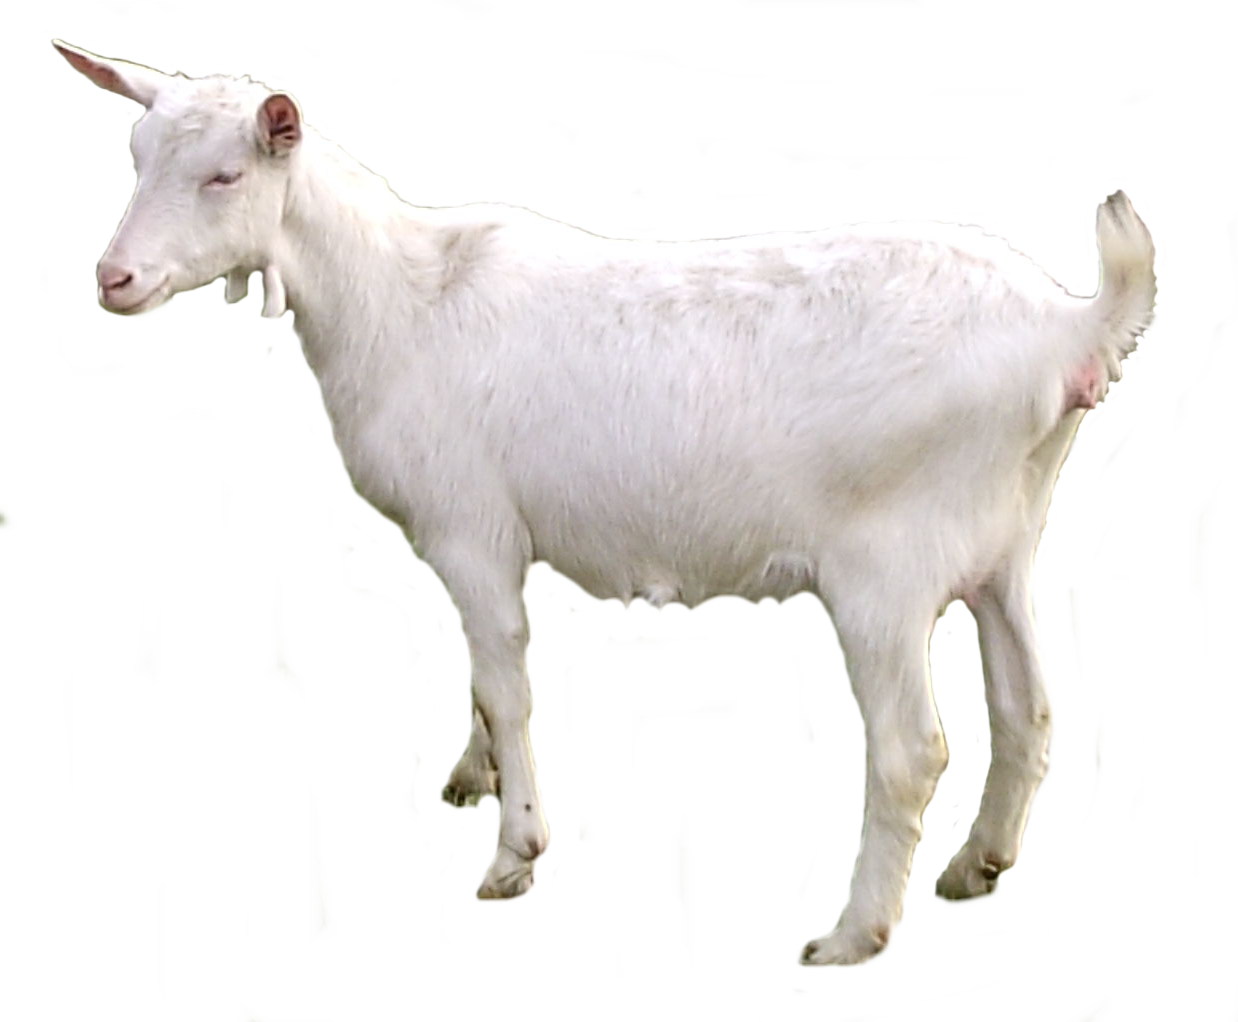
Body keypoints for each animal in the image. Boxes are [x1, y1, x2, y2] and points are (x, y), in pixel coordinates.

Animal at [53, 38, 1159, 980]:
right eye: (139, 158)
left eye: (225, 177)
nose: (116, 278)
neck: (401, 300)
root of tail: (1068, 329)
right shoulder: (508, 539)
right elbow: (489, 674)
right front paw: (474, 776)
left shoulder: (470, 525)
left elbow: (505, 687)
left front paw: (513, 856)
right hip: (1001, 541)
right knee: (1029, 702)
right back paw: (980, 865)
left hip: (886, 571)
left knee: (909, 753)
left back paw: (848, 942)